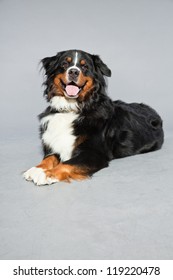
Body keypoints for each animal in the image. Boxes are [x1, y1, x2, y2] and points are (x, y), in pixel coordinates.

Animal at [23, 49, 164, 186]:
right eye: (64, 64)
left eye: (84, 66)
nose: (73, 71)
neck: (72, 109)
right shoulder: (57, 144)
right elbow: (49, 158)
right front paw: (36, 169)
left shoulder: (93, 153)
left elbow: (67, 163)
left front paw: (47, 174)